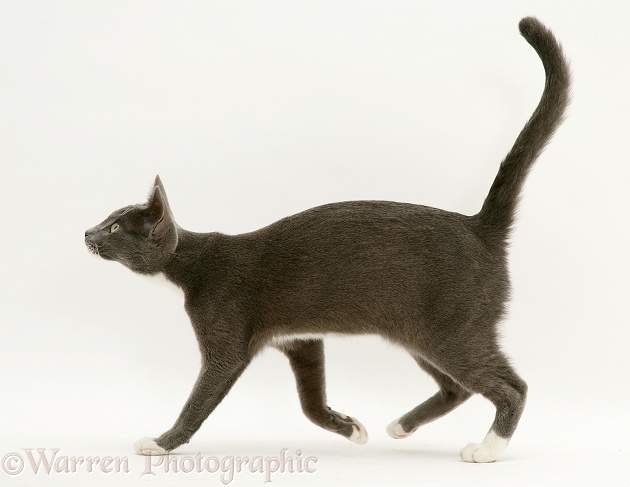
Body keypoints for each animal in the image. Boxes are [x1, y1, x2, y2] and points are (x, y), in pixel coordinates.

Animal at [84, 17, 572, 464]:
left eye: (115, 228)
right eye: (106, 219)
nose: (87, 232)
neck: (191, 264)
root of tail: (478, 225)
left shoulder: (228, 337)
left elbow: (200, 399)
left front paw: (162, 442)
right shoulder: (301, 340)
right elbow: (310, 402)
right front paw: (348, 426)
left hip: (454, 328)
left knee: (510, 386)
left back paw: (489, 448)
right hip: (418, 331)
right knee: (456, 387)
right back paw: (401, 425)